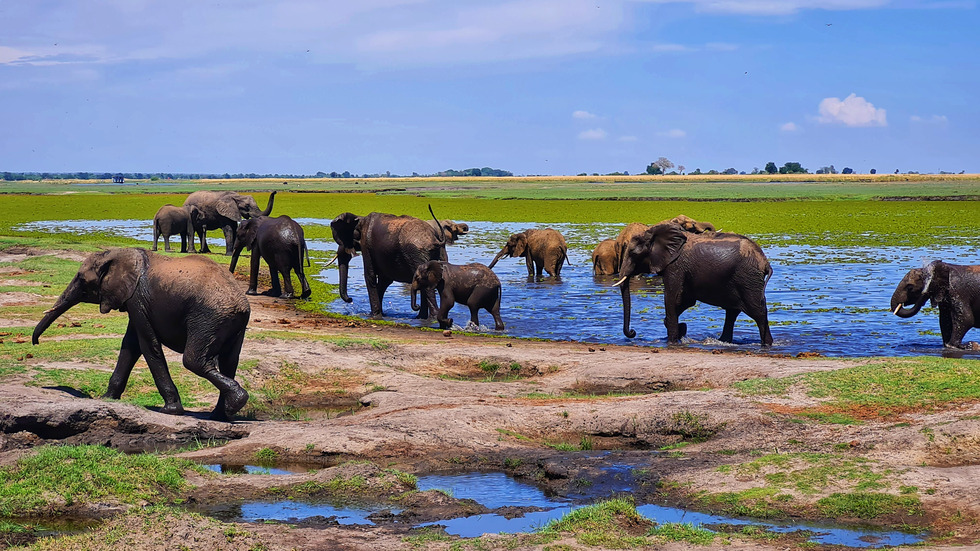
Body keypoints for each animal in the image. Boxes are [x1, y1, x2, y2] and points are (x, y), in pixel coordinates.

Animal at [32, 250, 251, 422]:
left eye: (81, 279)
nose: (36, 343)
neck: (117, 254)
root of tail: (241, 304)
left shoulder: (137, 298)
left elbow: (147, 344)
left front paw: (170, 411)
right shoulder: (134, 300)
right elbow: (130, 345)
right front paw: (107, 399)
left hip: (208, 318)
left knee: (193, 361)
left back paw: (236, 402)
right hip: (232, 323)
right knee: (229, 362)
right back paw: (221, 415)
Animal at [612, 223, 772, 344]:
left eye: (633, 253)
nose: (633, 332)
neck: (653, 232)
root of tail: (765, 262)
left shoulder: (675, 266)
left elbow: (671, 298)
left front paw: (673, 340)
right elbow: (686, 301)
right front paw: (681, 329)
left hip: (748, 279)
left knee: (758, 312)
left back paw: (766, 344)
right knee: (732, 312)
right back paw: (722, 341)